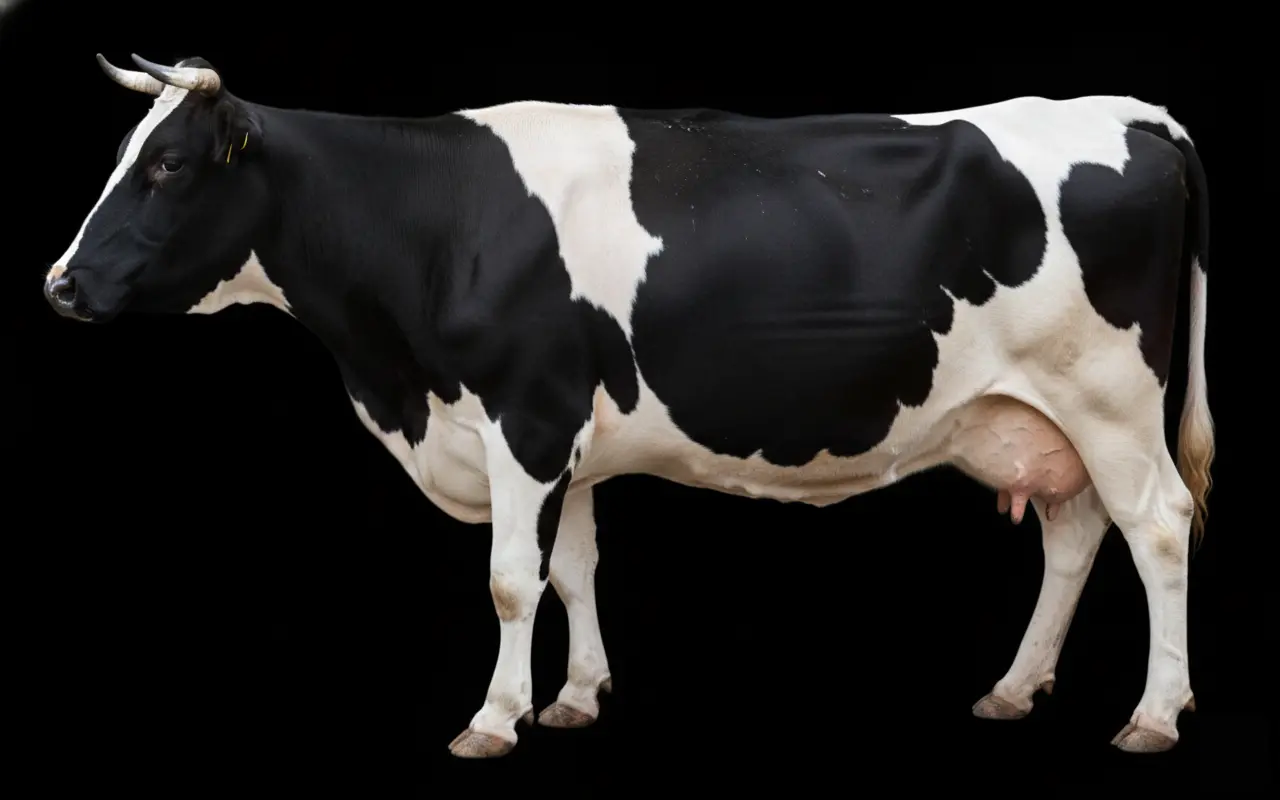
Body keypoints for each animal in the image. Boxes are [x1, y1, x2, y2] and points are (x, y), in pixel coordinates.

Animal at [45, 54, 1213, 758]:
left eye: (166, 166)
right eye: (127, 157)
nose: (59, 284)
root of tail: (1130, 111)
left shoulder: (524, 416)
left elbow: (510, 581)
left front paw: (495, 715)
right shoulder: (564, 439)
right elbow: (572, 568)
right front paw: (573, 695)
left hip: (1111, 398)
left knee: (1155, 525)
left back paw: (1154, 713)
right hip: (1047, 415)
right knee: (1074, 534)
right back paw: (1015, 687)